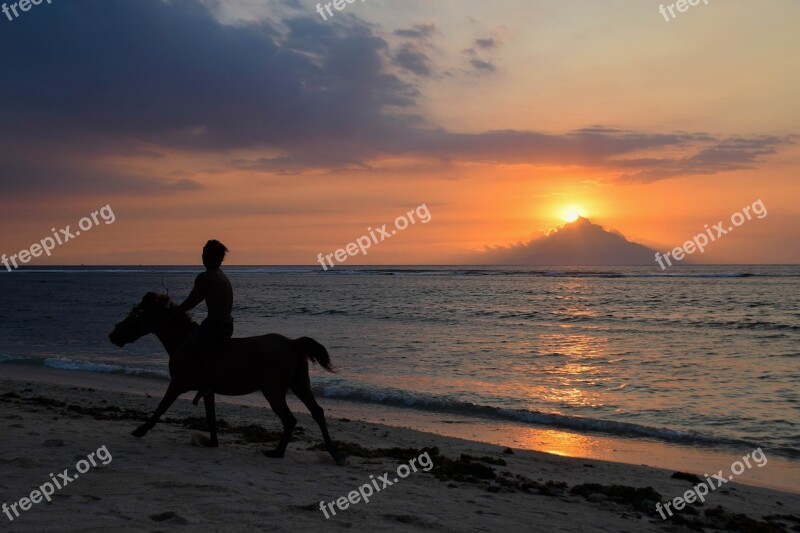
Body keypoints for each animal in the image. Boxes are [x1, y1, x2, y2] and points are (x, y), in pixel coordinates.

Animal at [107, 290, 344, 462]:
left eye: (135, 315)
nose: (112, 335)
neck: (182, 341)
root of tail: (292, 343)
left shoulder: (178, 383)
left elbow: (161, 407)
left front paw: (140, 430)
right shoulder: (207, 390)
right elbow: (210, 416)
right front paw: (212, 442)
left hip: (274, 391)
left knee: (290, 419)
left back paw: (277, 452)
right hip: (299, 384)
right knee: (317, 412)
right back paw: (334, 453)